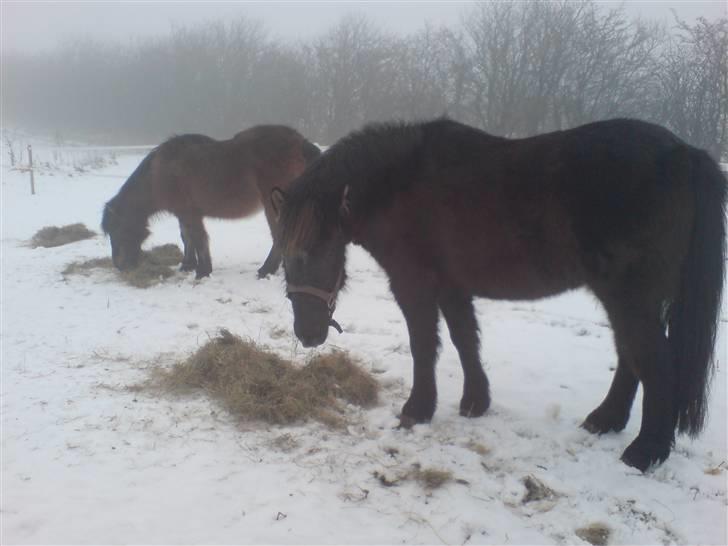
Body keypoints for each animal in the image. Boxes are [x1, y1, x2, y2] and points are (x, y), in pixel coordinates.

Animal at [101, 125, 320, 278]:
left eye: (116, 230)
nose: (120, 266)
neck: (159, 174)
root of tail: (301, 143)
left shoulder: (190, 213)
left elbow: (198, 238)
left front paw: (203, 271)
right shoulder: (183, 213)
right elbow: (187, 237)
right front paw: (187, 265)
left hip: (273, 205)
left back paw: (266, 270)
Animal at [274, 117, 728, 470]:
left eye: (316, 252)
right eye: (284, 254)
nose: (308, 335)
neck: (400, 184)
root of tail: (685, 153)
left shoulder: (414, 284)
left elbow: (425, 345)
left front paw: (418, 409)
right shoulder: (452, 286)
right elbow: (465, 340)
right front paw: (476, 401)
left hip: (630, 298)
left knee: (654, 363)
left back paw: (644, 451)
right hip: (624, 299)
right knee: (631, 358)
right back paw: (606, 420)